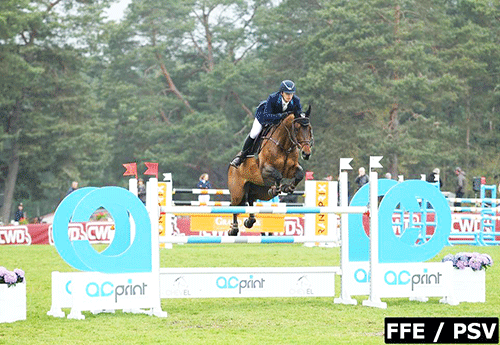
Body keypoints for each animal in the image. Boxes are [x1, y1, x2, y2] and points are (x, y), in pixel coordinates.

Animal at [227, 104, 312, 234]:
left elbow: (300, 174)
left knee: (250, 200)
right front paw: (276, 189)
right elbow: (278, 175)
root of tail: (231, 167)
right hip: (238, 191)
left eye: (310, 129)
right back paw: (234, 229)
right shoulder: (265, 170)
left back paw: (249, 221)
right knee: (234, 205)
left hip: (258, 191)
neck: (284, 146)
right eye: (297, 129)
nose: (306, 153)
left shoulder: (291, 169)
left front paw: (288, 188)